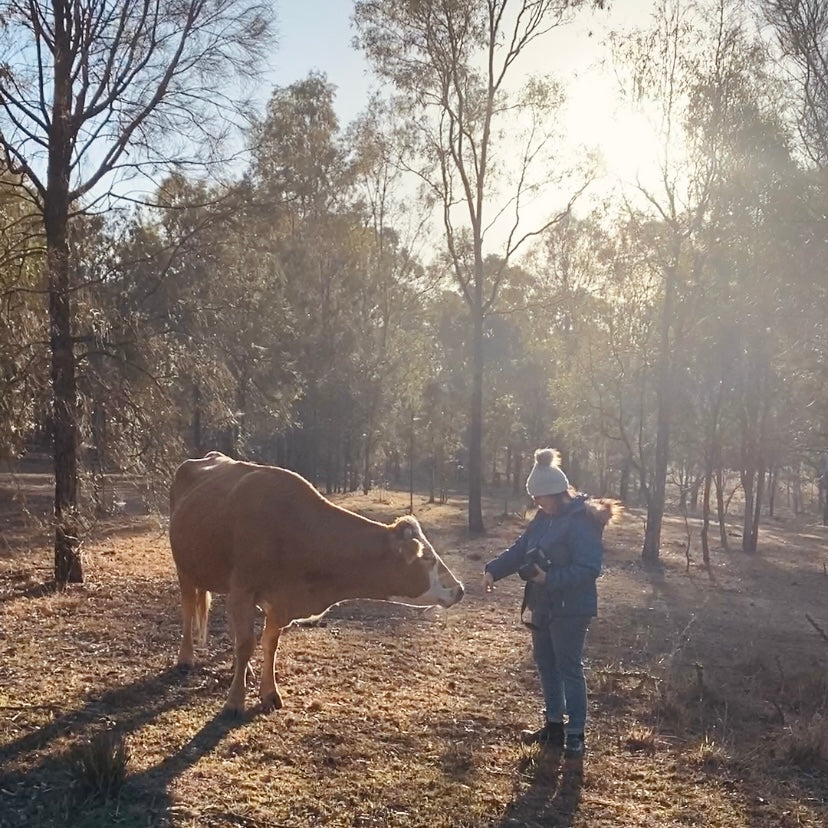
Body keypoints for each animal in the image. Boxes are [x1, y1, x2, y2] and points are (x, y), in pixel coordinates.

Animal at [168, 450, 466, 716]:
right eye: (428, 559)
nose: (459, 589)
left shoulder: (276, 600)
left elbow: (268, 643)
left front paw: (269, 692)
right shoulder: (244, 589)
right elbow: (245, 645)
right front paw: (234, 701)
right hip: (184, 568)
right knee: (188, 608)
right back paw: (186, 657)